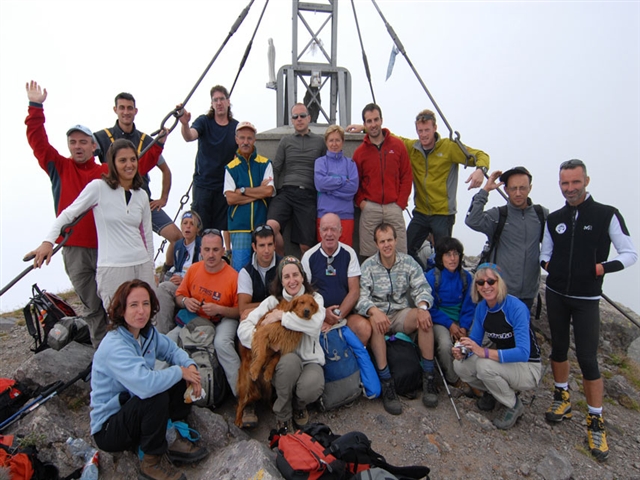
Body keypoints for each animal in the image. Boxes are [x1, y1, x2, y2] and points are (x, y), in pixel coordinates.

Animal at [234, 294, 318, 430]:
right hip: (245, 386)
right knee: (240, 403)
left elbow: (274, 360)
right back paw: (238, 419)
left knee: (266, 400)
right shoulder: (263, 333)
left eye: (312, 305)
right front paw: (255, 369)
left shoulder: (281, 349)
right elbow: (262, 355)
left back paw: (272, 407)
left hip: (268, 388)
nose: (307, 311)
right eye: (302, 302)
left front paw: (268, 372)